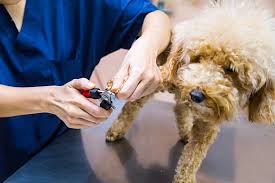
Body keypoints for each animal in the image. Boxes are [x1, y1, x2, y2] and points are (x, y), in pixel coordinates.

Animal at [105, 0, 275, 182]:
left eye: (231, 69)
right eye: (198, 58)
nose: (196, 95)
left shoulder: (207, 126)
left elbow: (192, 159)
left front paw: (185, 178)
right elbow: (130, 106)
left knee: (180, 108)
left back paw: (186, 131)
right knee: (138, 106)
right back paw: (117, 130)